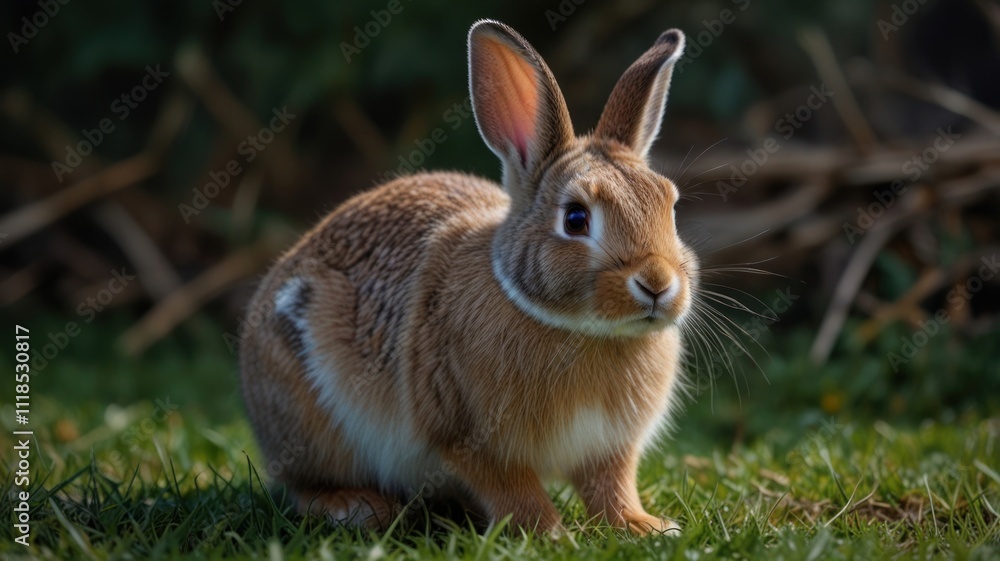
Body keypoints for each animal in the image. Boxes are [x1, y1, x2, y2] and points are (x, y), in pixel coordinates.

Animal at [239, 19, 695, 535]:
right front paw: (549, 533)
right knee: (303, 485)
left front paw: (643, 526)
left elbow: (611, 487)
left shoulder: (610, 447)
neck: (582, 330)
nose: (657, 284)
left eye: (670, 207)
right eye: (576, 219)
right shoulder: (465, 435)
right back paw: (356, 507)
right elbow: (511, 488)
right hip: (307, 415)